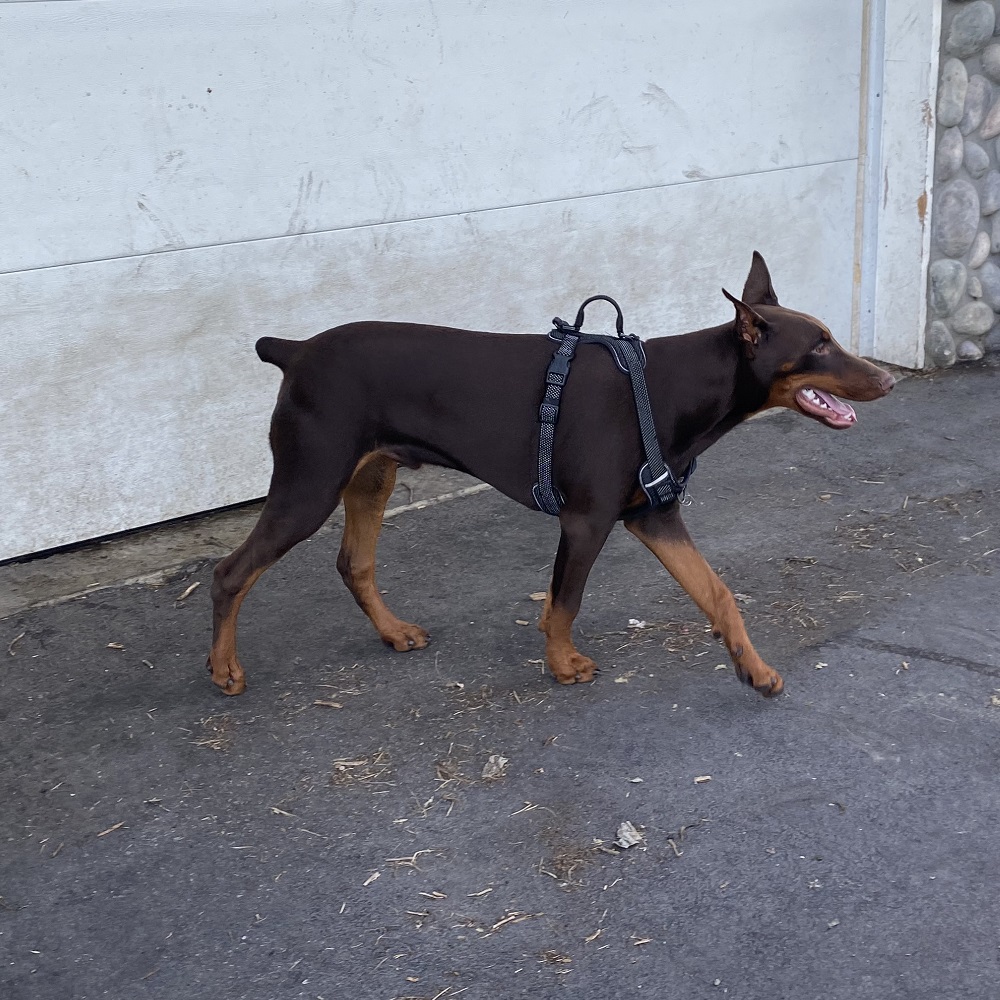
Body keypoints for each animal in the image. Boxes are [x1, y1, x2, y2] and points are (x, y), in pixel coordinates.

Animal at [207, 254, 896, 700]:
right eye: (819, 346)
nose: (887, 380)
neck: (669, 389)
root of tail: (295, 350)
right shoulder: (587, 518)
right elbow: (566, 600)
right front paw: (563, 665)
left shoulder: (655, 515)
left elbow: (717, 592)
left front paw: (754, 670)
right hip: (310, 482)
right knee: (230, 573)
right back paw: (223, 671)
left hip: (371, 475)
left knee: (354, 562)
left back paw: (394, 632)